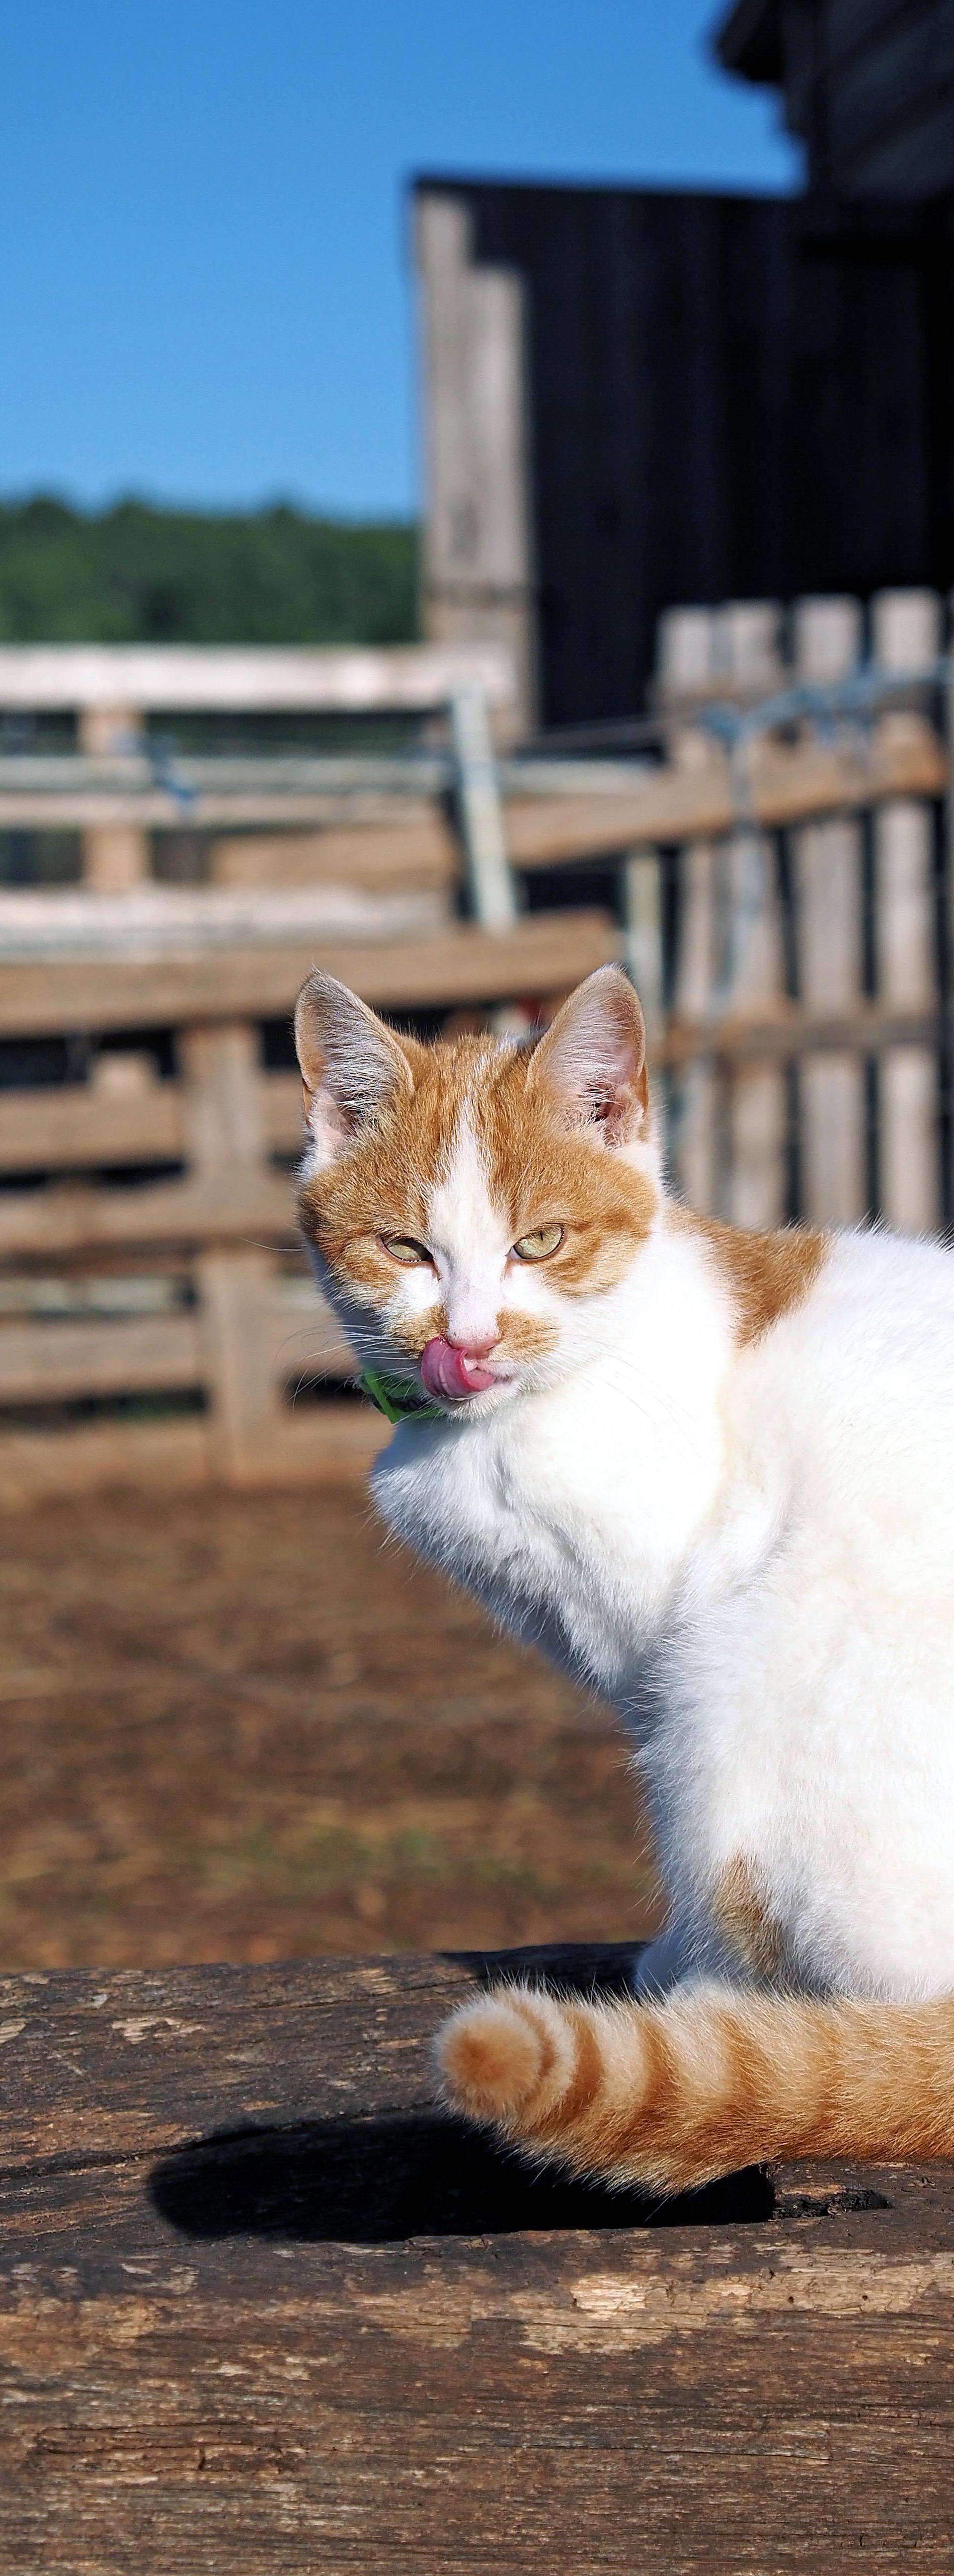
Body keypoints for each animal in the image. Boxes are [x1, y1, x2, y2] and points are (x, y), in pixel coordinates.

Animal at [294, 968, 954, 2194]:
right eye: (405, 1248)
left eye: (541, 1242)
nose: (468, 1340)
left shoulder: (660, 1637)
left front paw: (688, 1969)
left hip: (737, 1678)